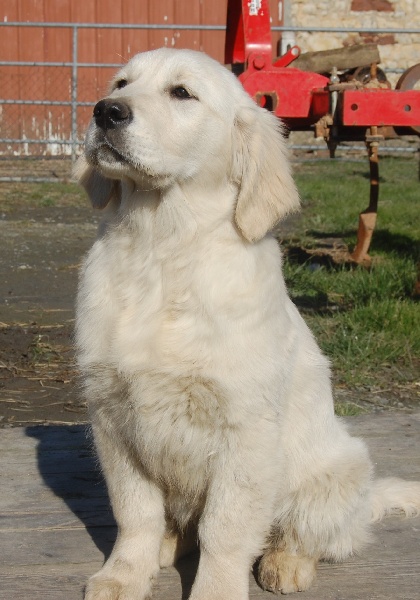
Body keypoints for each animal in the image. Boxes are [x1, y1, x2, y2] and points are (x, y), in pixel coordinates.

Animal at [75, 48, 420, 600]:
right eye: (120, 84)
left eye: (182, 93)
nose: (106, 112)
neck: (162, 249)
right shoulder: (112, 417)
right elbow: (135, 513)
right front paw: (125, 573)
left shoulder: (246, 429)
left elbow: (226, 528)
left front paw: (216, 589)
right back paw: (169, 546)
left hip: (337, 472)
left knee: (314, 536)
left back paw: (287, 563)